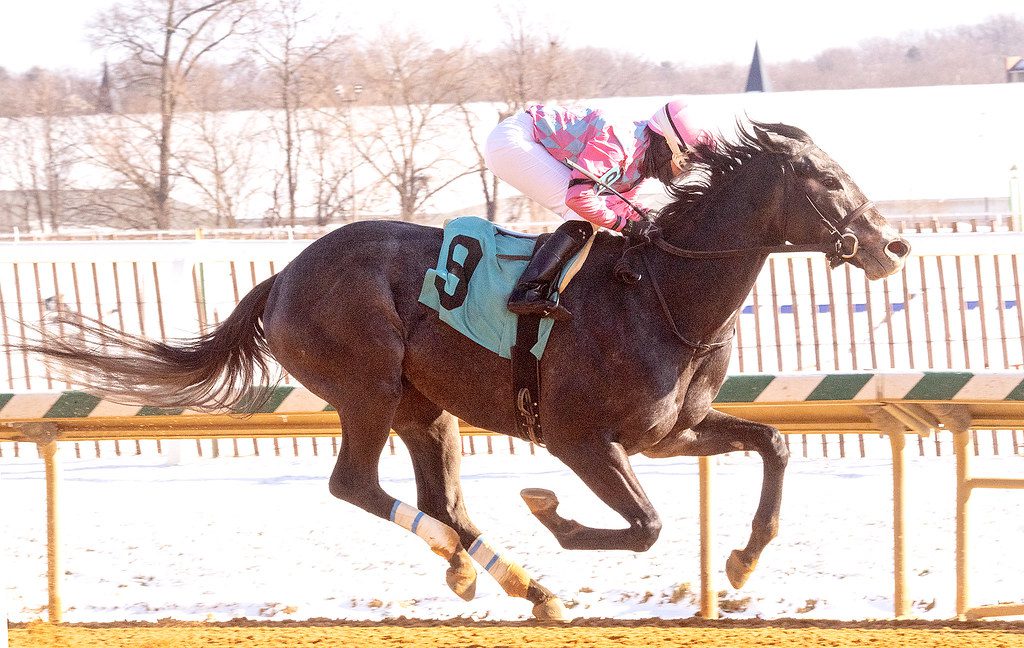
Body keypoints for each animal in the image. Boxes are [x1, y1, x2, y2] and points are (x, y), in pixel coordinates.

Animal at [24, 120, 909, 618]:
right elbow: (646, 525)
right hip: (369, 387)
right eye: (830, 180)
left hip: (427, 408)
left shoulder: (670, 433)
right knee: (359, 486)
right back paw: (486, 569)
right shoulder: (581, 440)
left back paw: (517, 584)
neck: (665, 294)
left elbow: (774, 444)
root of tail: (282, 277)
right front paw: (553, 514)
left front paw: (744, 559)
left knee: (438, 499)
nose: (893, 243)